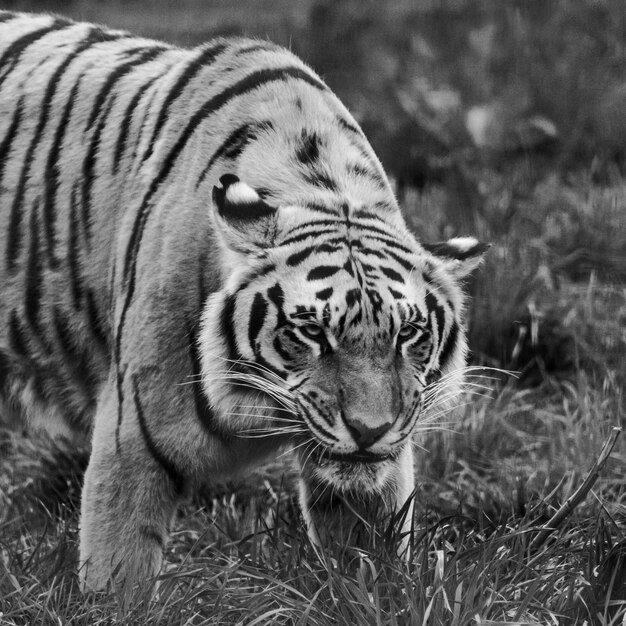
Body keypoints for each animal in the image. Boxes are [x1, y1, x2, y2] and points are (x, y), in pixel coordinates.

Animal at [0, 9, 488, 592]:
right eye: (312, 332)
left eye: (407, 334)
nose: (370, 431)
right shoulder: (133, 436)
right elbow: (119, 570)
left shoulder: (381, 465)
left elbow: (375, 562)